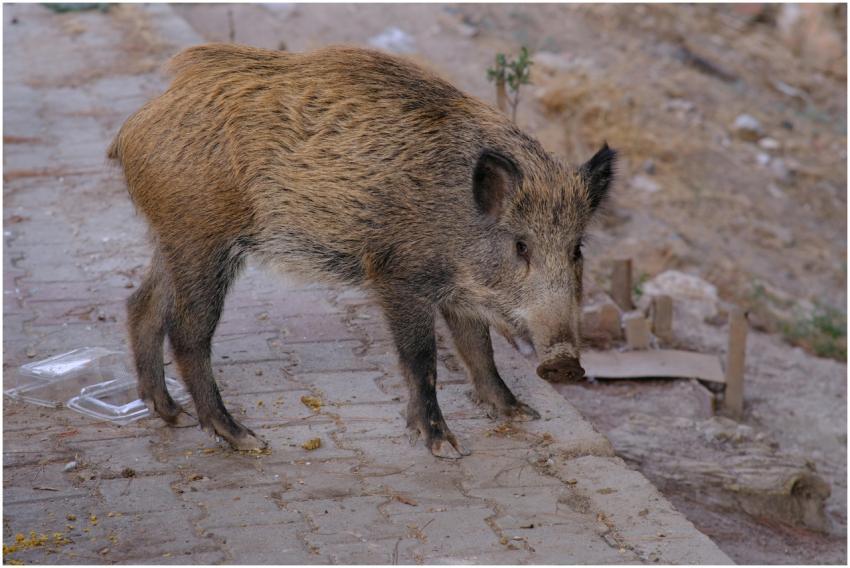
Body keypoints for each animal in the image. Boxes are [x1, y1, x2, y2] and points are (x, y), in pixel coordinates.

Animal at [108, 44, 616, 459]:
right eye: (520, 245)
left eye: (576, 249)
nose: (565, 363)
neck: (457, 216)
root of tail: (133, 127)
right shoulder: (398, 276)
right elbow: (422, 358)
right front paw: (445, 447)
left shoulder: (459, 291)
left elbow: (479, 349)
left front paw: (520, 413)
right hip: (203, 243)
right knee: (187, 332)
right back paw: (246, 438)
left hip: (173, 240)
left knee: (141, 305)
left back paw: (170, 414)